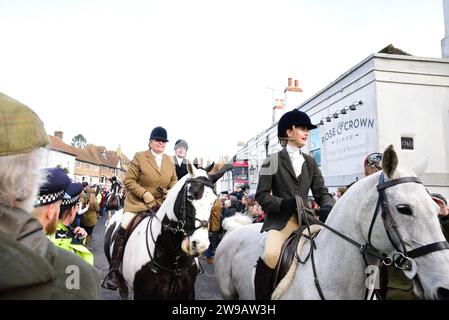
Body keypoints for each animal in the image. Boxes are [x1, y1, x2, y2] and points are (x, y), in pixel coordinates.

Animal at [104, 162, 229, 300]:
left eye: (214, 201)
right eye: (190, 196)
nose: (200, 245)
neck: (173, 258)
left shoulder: (188, 292)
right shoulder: (142, 294)